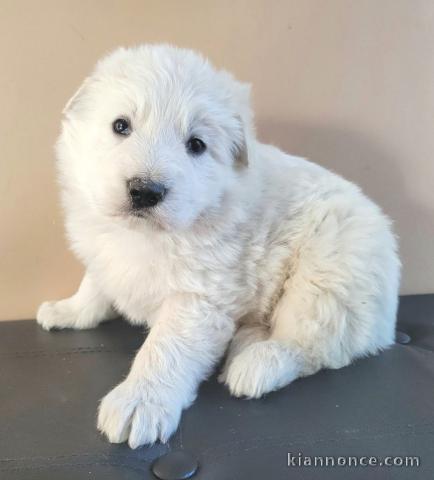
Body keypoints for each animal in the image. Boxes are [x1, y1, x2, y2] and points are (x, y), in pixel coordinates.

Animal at [36, 43, 400, 448]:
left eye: (196, 145)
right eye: (120, 125)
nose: (146, 191)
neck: (145, 235)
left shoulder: (198, 298)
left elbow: (164, 349)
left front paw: (139, 401)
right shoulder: (104, 252)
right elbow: (93, 285)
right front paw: (68, 310)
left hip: (327, 276)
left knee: (310, 346)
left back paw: (256, 365)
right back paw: (245, 341)